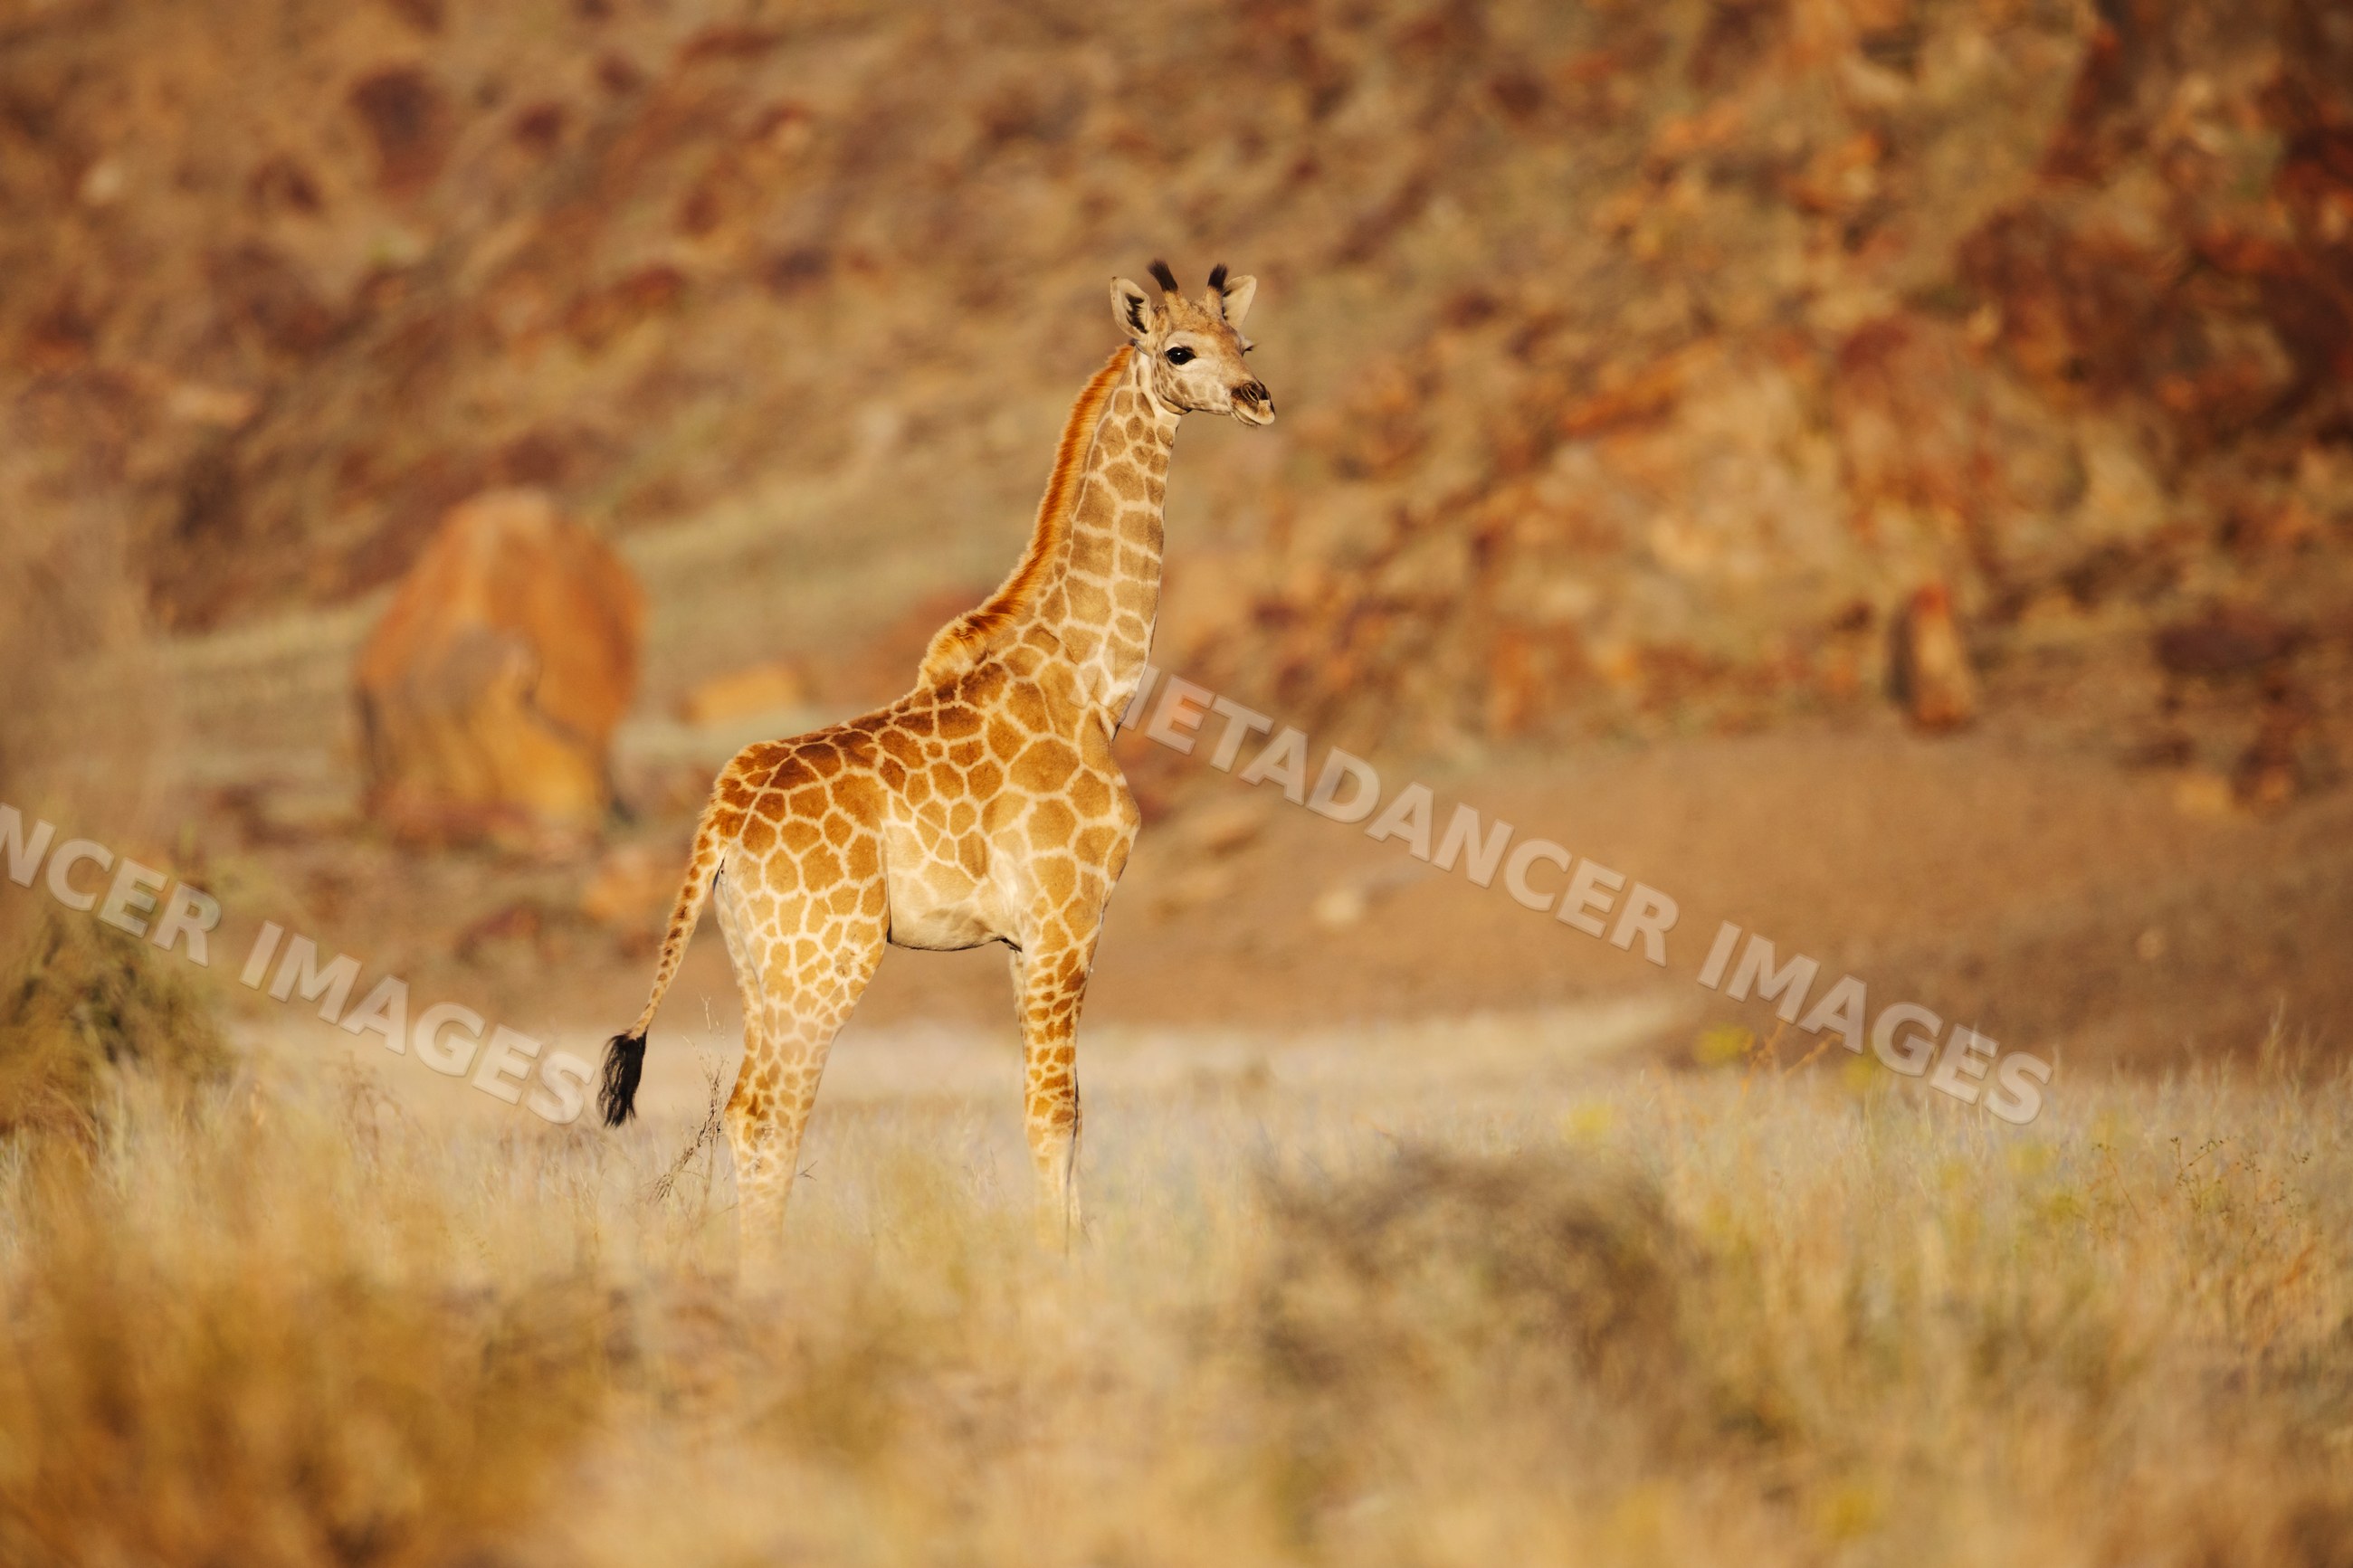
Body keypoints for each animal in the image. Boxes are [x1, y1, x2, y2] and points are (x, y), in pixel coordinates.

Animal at [600, 260, 1272, 1255]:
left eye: (1244, 341)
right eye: (1179, 350)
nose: (1258, 397)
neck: (1090, 682)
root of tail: (722, 818)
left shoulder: (1019, 938)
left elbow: (1062, 1107)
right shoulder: (1067, 918)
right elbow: (1054, 1112)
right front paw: (1057, 1265)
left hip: (763, 962)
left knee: (745, 1106)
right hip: (826, 960)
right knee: (768, 1111)